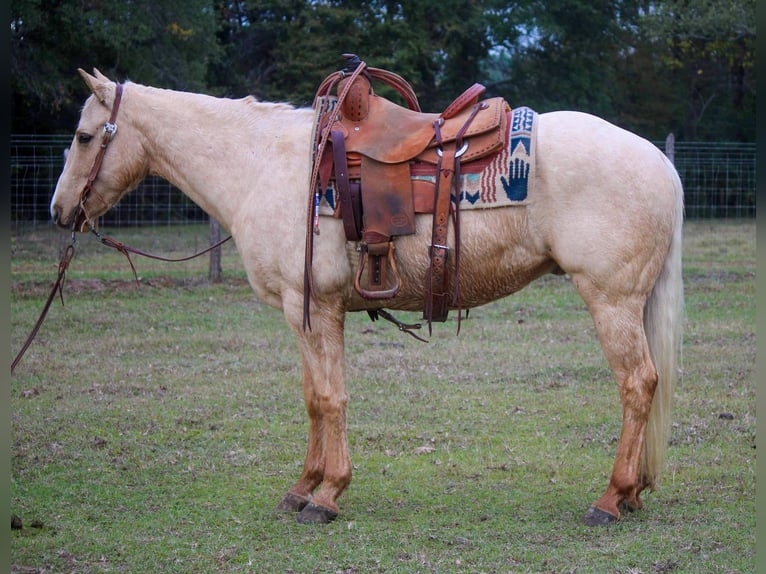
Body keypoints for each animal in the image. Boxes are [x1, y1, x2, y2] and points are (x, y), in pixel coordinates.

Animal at [49, 66, 684, 528]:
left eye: (84, 137)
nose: (59, 210)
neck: (263, 165)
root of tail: (660, 161)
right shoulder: (307, 312)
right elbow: (312, 398)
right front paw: (302, 487)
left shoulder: (313, 307)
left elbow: (331, 399)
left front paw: (327, 495)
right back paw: (631, 495)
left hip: (611, 301)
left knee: (637, 384)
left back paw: (611, 499)